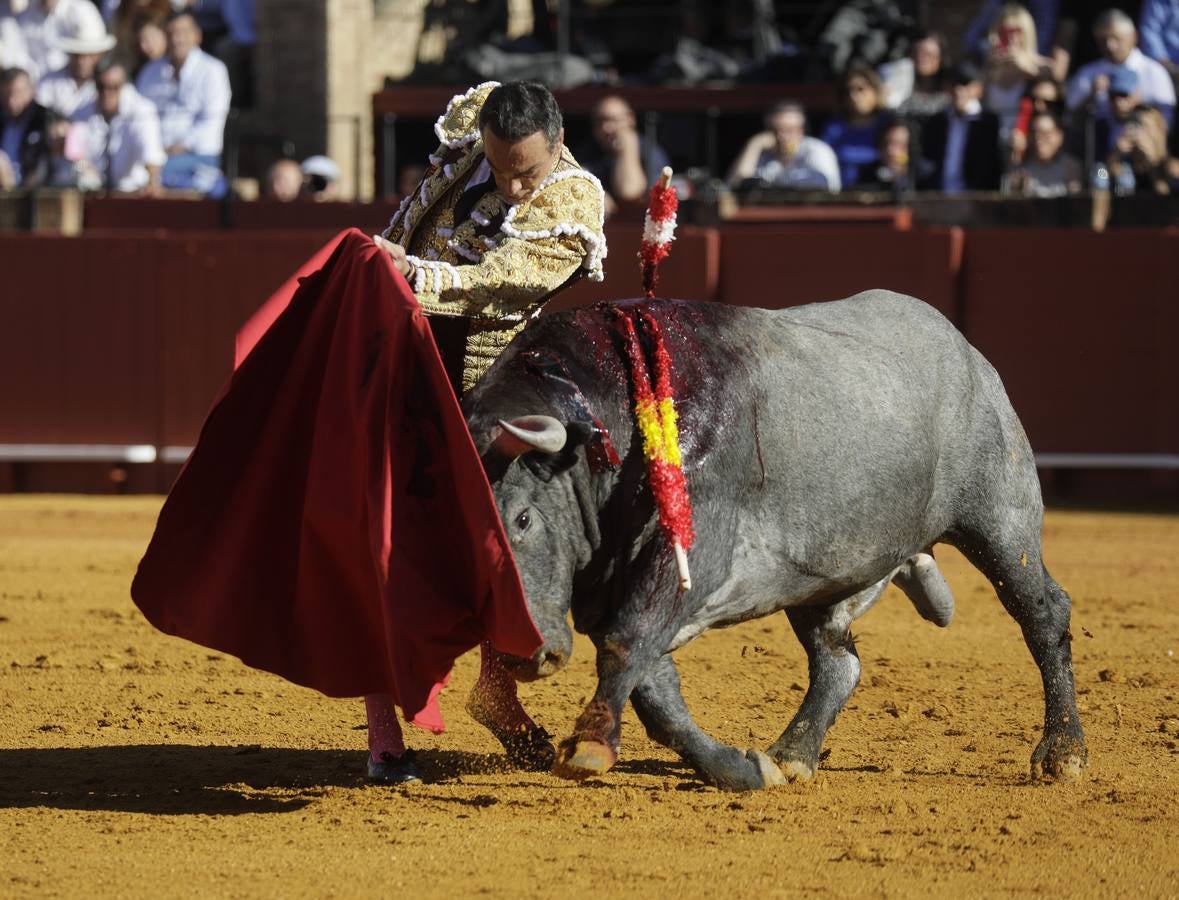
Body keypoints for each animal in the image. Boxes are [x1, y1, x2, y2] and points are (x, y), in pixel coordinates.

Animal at [459, 292, 1084, 792]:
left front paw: (588, 744)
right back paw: (792, 754)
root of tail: (968, 353)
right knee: (837, 660)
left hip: (999, 520)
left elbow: (628, 646)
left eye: (522, 519)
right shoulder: (614, 587)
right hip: (823, 573)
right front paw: (742, 769)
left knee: (1043, 612)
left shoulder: (684, 556)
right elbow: (656, 690)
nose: (522, 653)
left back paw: (1063, 752)